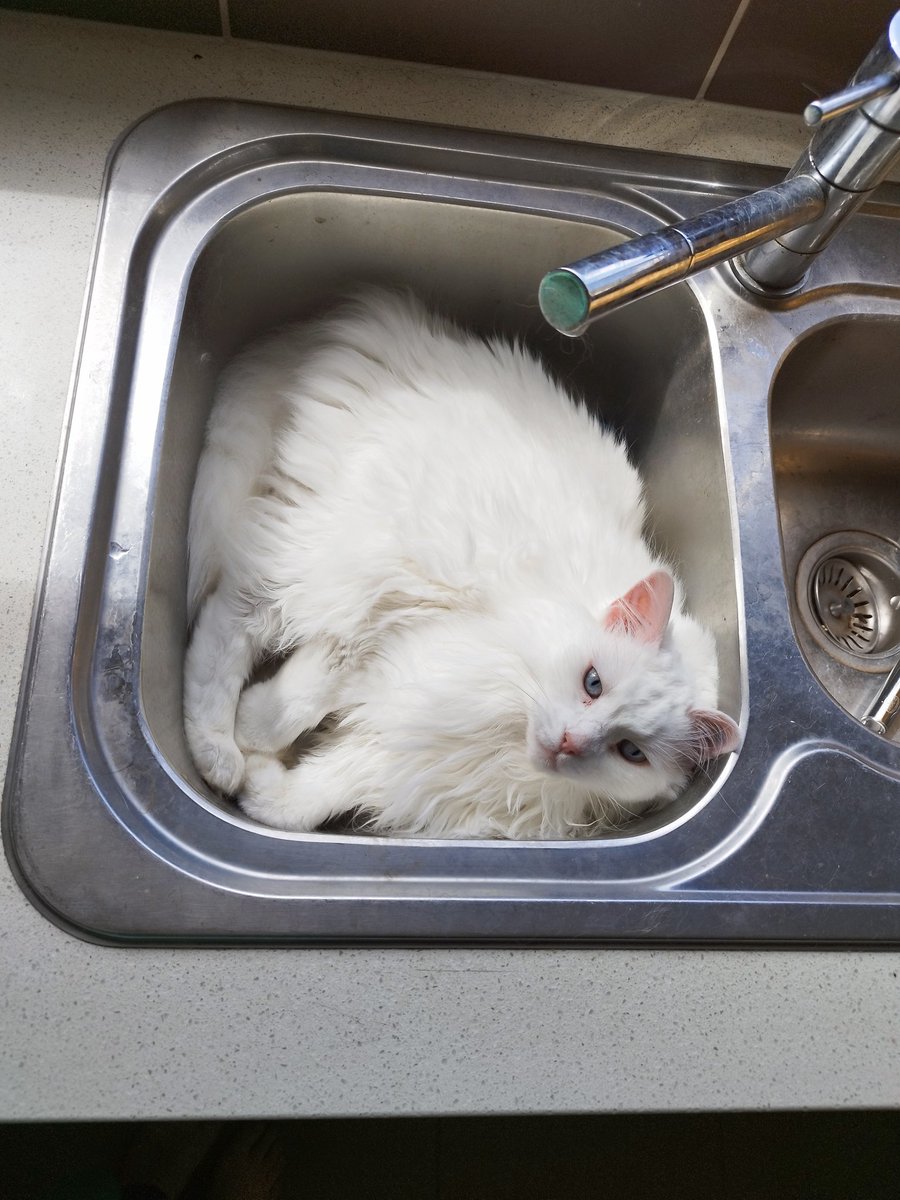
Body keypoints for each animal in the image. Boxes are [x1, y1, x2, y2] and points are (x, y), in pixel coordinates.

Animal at [183, 288, 739, 835]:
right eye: (593, 683)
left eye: (630, 752)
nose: (569, 743)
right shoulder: (392, 628)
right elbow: (299, 701)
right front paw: (253, 735)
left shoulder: (407, 756)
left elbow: (318, 794)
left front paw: (263, 785)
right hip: (325, 554)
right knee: (225, 626)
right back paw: (218, 755)